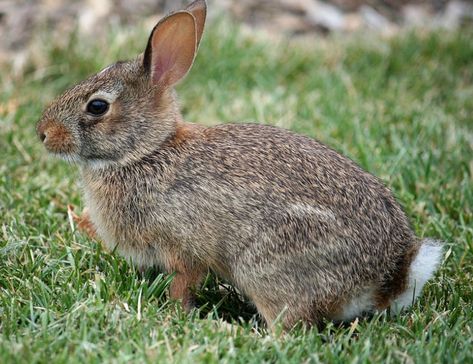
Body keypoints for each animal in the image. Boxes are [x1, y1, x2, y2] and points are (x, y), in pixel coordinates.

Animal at [37, 0, 442, 330]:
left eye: (97, 107)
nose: (42, 132)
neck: (146, 152)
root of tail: (387, 280)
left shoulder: (182, 246)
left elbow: (184, 282)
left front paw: (175, 314)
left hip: (266, 266)